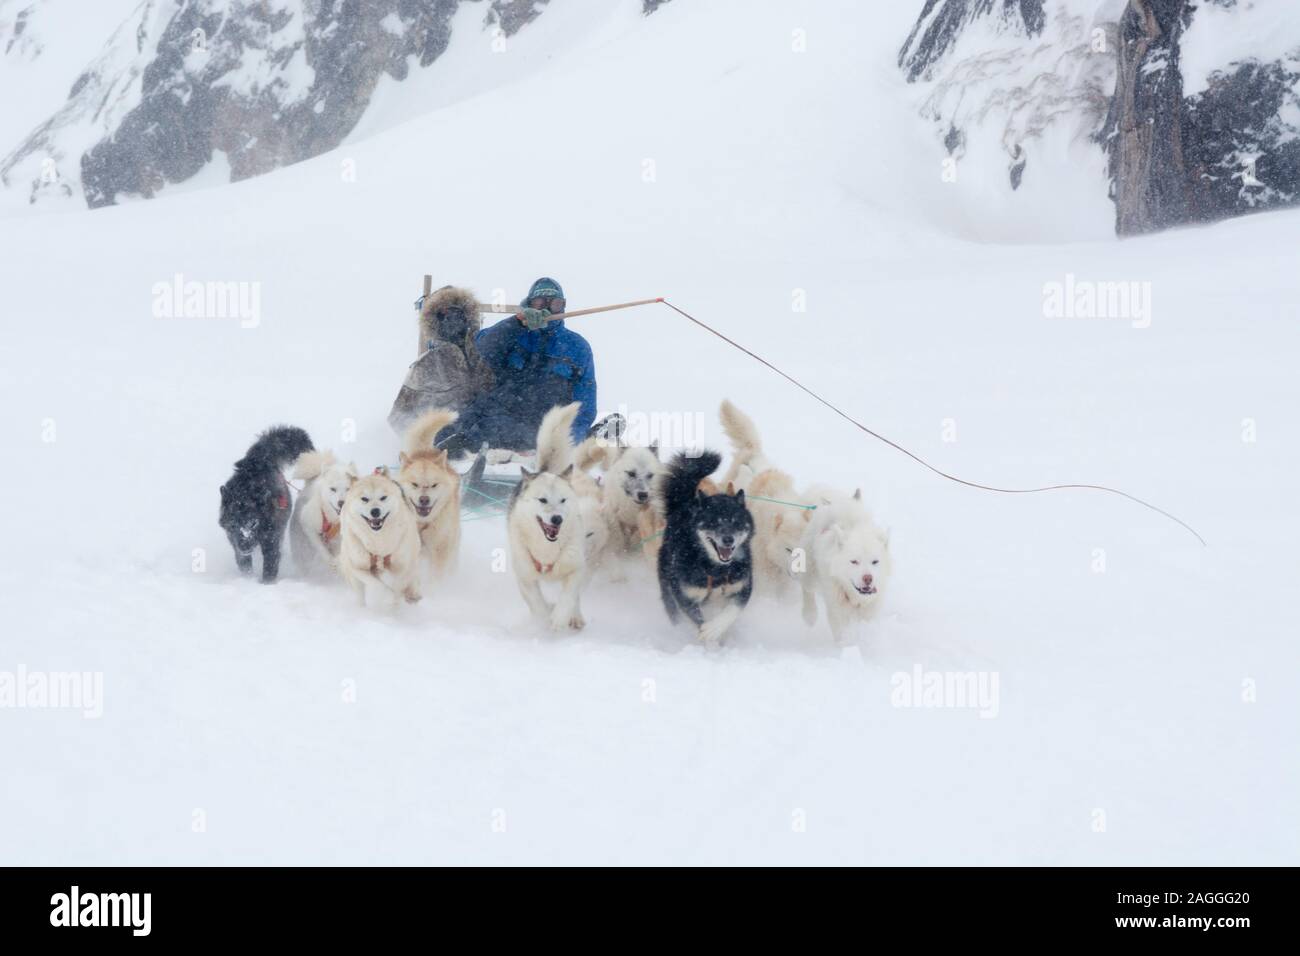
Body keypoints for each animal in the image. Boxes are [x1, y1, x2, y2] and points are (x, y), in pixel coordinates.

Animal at [219, 426, 315, 582]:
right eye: (233, 523)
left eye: (253, 523)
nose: (245, 546)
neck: (245, 490)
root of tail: (259, 457)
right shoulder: (235, 542)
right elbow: (244, 565)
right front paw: (248, 580)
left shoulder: (271, 540)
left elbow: (270, 567)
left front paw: (266, 583)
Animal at [335, 468, 421, 608]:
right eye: (364, 499)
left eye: (383, 498)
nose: (375, 511)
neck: (378, 540)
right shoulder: (358, 567)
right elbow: (376, 584)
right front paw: (388, 597)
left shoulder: (401, 565)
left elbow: (398, 581)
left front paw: (398, 597)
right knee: (361, 594)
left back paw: (412, 594)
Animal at [506, 403, 595, 632]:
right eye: (543, 500)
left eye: (563, 500)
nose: (557, 520)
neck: (547, 550)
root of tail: (546, 471)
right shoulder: (525, 576)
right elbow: (536, 603)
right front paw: (544, 617)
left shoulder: (575, 568)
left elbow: (569, 596)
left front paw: (560, 617)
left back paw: (575, 617)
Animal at [655, 452, 759, 647]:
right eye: (714, 522)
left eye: (736, 521)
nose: (728, 539)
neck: (716, 570)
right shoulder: (685, 596)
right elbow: (696, 618)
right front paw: (710, 639)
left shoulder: (742, 586)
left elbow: (733, 610)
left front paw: (714, 629)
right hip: (668, 584)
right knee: (673, 611)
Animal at [795, 489, 889, 647]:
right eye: (854, 561)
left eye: (875, 562)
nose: (868, 578)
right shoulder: (837, 608)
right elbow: (841, 631)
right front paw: (845, 647)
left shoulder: (869, 608)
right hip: (808, 570)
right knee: (807, 589)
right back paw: (809, 614)